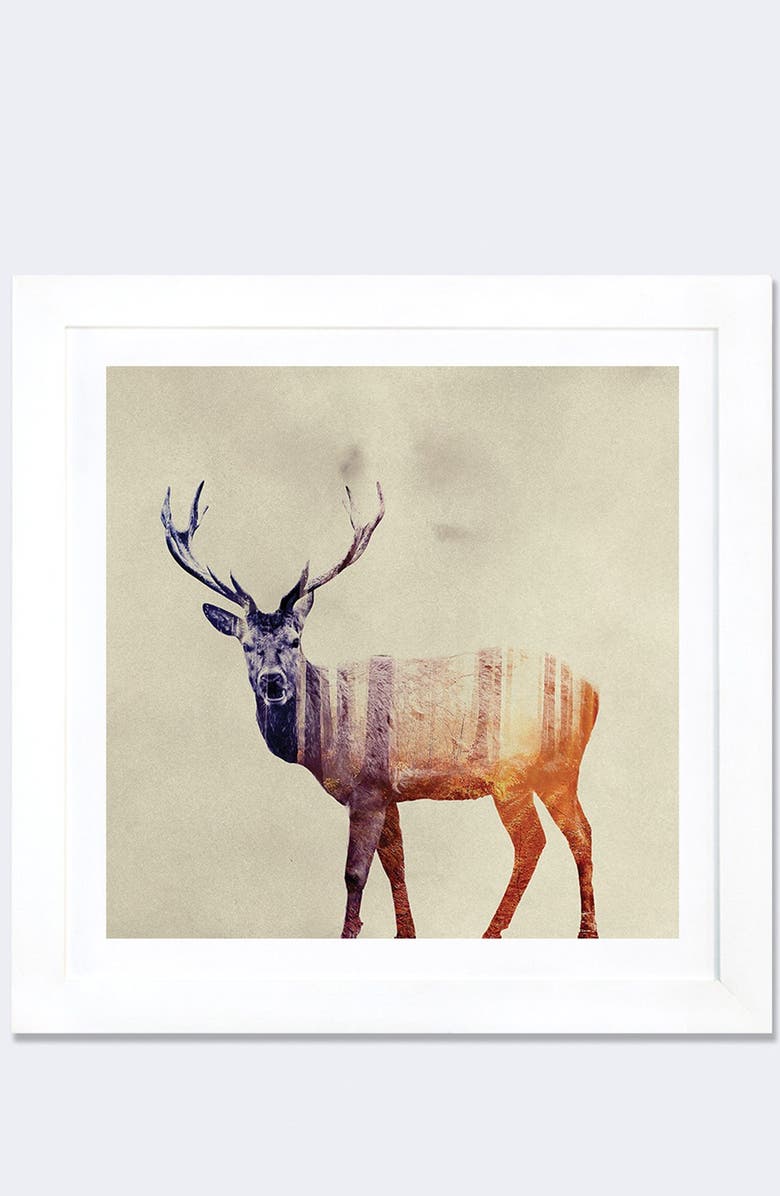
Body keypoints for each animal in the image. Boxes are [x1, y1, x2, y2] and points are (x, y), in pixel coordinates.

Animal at [161, 481, 600, 940]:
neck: (325, 737)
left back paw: (500, 930)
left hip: (517, 774)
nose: (272, 681)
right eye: (246, 645)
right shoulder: (389, 792)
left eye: (295, 640)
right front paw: (405, 933)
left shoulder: (368, 786)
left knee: (535, 841)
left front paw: (349, 933)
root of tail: (594, 692)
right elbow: (396, 865)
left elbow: (355, 873)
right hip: (555, 773)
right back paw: (584, 928)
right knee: (580, 833)